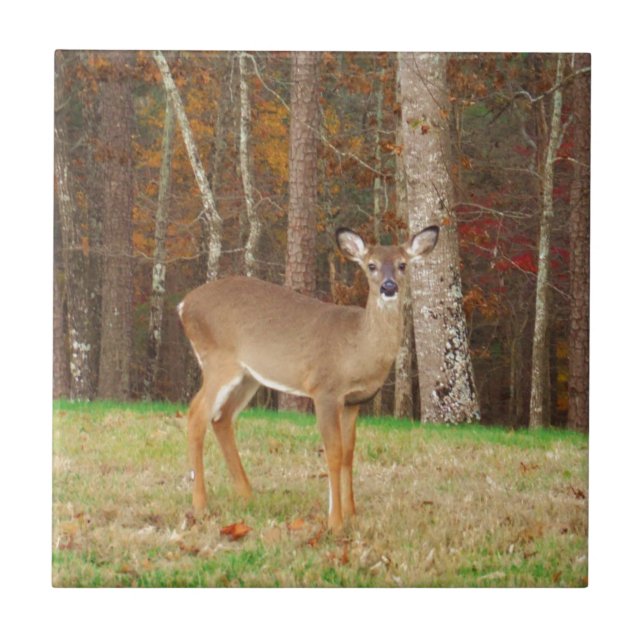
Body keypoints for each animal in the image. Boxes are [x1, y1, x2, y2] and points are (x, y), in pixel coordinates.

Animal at [177, 225, 439, 533]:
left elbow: (349, 453)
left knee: (221, 418)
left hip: (248, 376)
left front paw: (352, 513)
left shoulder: (354, 401)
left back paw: (247, 495)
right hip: (219, 361)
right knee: (196, 414)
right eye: (371, 265)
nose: (388, 287)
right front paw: (335, 521)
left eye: (402, 264)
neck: (357, 347)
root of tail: (184, 304)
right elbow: (334, 452)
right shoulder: (325, 389)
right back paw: (200, 504)